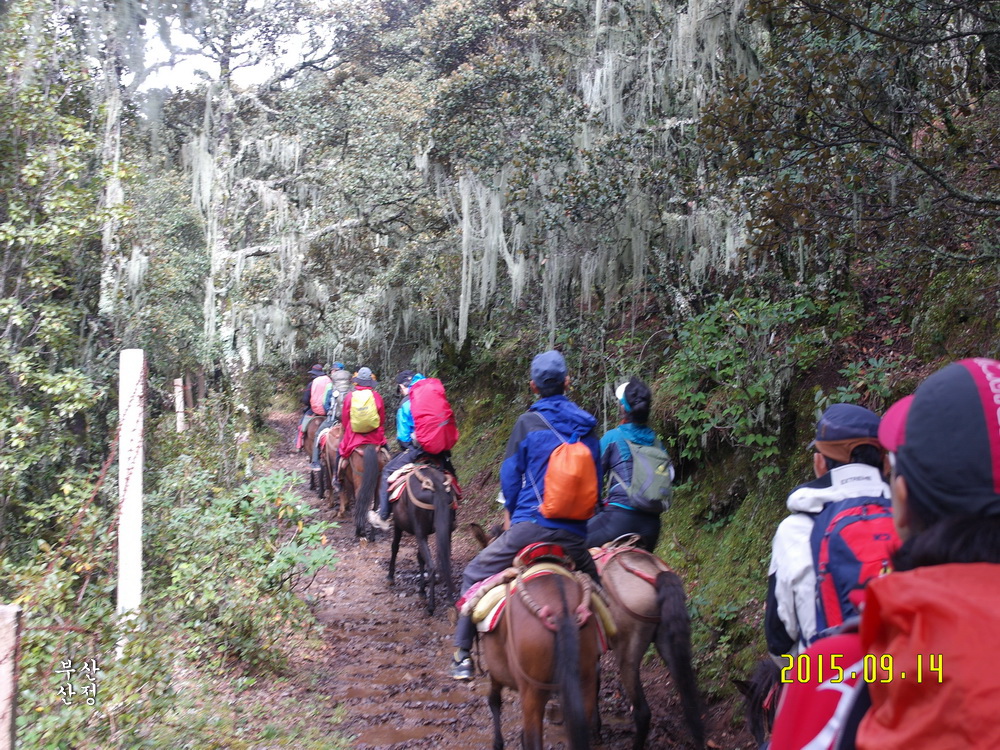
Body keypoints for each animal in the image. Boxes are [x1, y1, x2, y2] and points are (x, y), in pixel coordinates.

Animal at [385, 462, 457, 614]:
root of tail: (436, 485)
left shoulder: (399, 525)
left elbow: (395, 547)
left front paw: (390, 577)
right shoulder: (424, 533)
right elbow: (420, 557)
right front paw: (422, 591)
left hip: (418, 532)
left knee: (431, 566)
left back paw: (431, 607)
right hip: (442, 530)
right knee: (445, 561)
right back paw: (449, 599)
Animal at [479, 556, 601, 750]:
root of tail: (561, 611)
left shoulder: (497, 670)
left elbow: (494, 700)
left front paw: (498, 743)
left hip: (532, 691)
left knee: (533, 739)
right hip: (584, 680)